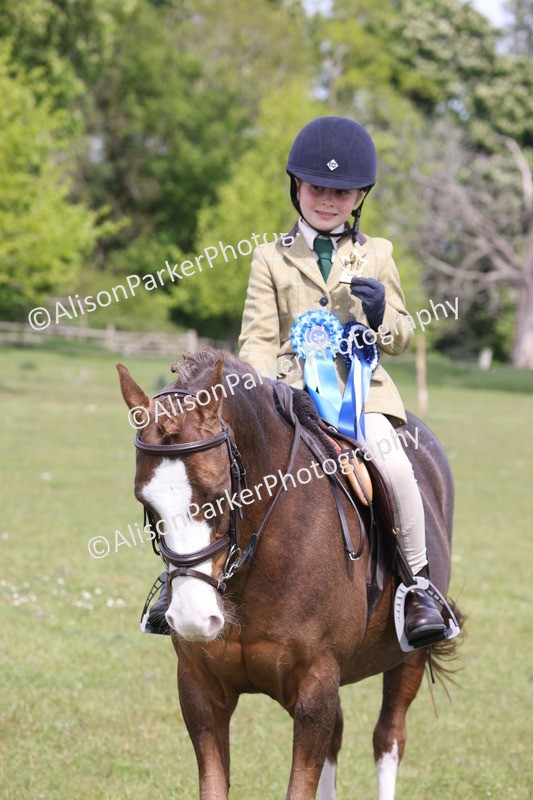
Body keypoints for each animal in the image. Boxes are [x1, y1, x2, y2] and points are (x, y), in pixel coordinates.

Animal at [117, 347, 461, 800]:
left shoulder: (315, 689)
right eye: (146, 504)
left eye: (220, 497)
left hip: (409, 656)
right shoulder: (199, 689)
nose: (192, 619)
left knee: (389, 737)